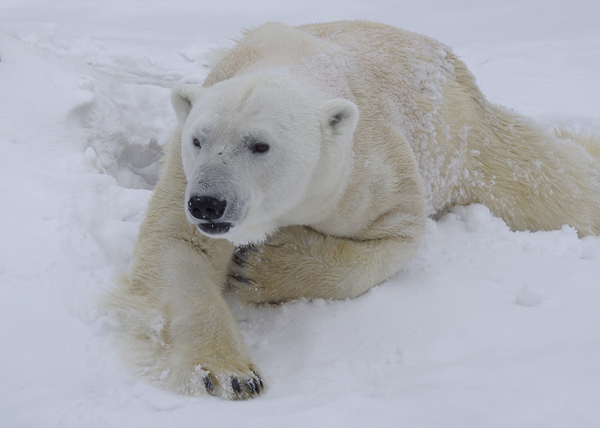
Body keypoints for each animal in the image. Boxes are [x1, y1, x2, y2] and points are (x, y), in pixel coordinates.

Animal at [108, 20, 600, 402]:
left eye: (260, 144)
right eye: (199, 138)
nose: (208, 202)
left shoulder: (367, 173)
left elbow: (395, 236)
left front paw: (258, 265)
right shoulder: (182, 173)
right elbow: (178, 246)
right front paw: (226, 374)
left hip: (466, 138)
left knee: (551, 185)